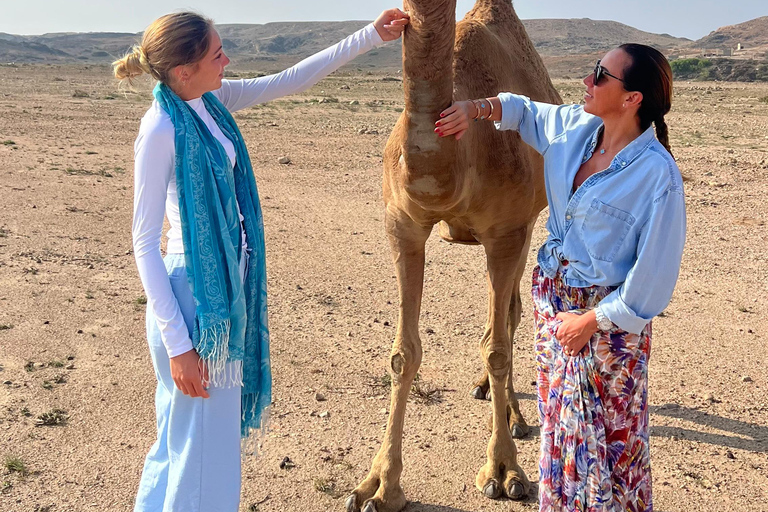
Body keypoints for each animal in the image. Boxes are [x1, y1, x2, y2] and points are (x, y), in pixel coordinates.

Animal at [344, 1, 560, 512]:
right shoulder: (401, 225)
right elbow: (403, 354)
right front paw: (379, 485)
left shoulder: (506, 232)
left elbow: (498, 346)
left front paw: (504, 471)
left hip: (527, 227)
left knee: (510, 315)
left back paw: (515, 416)